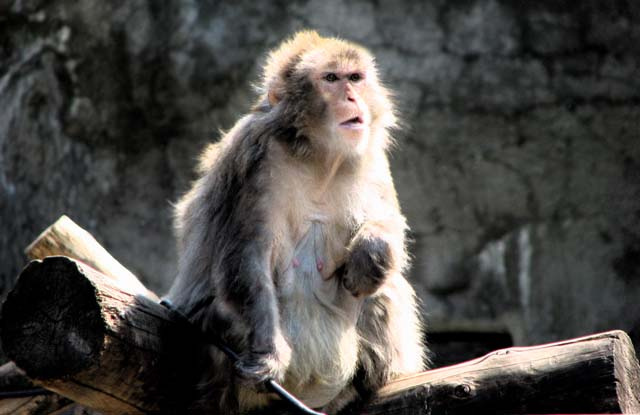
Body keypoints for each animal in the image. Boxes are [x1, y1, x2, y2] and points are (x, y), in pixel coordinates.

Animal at [164, 30, 426, 414]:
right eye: (331, 78)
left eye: (355, 78)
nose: (352, 97)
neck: (318, 156)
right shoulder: (255, 154)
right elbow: (247, 258)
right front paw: (267, 355)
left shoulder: (370, 154)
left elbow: (388, 222)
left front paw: (367, 254)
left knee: (384, 285)